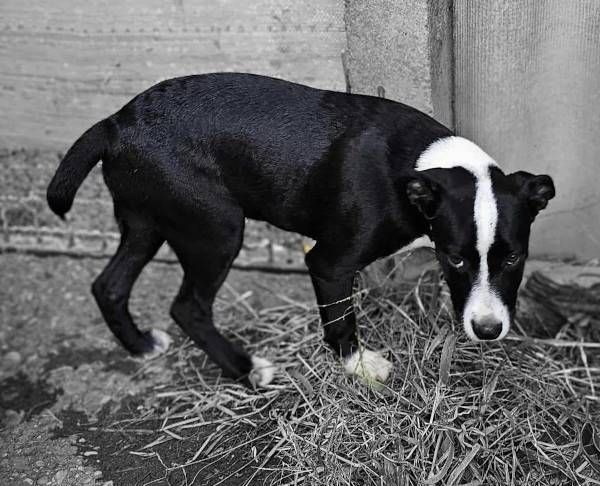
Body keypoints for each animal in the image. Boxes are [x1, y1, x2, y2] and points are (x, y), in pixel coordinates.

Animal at [47, 73, 555, 387]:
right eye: (455, 259)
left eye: (514, 258)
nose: (488, 331)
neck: (420, 169)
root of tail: (115, 124)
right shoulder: (329, 263)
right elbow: (340, 320)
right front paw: (358, 367)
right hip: (216, 230)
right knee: (187, 307)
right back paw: (245, 369)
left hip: (148, 222)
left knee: (109, 285)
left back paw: (139, 346)